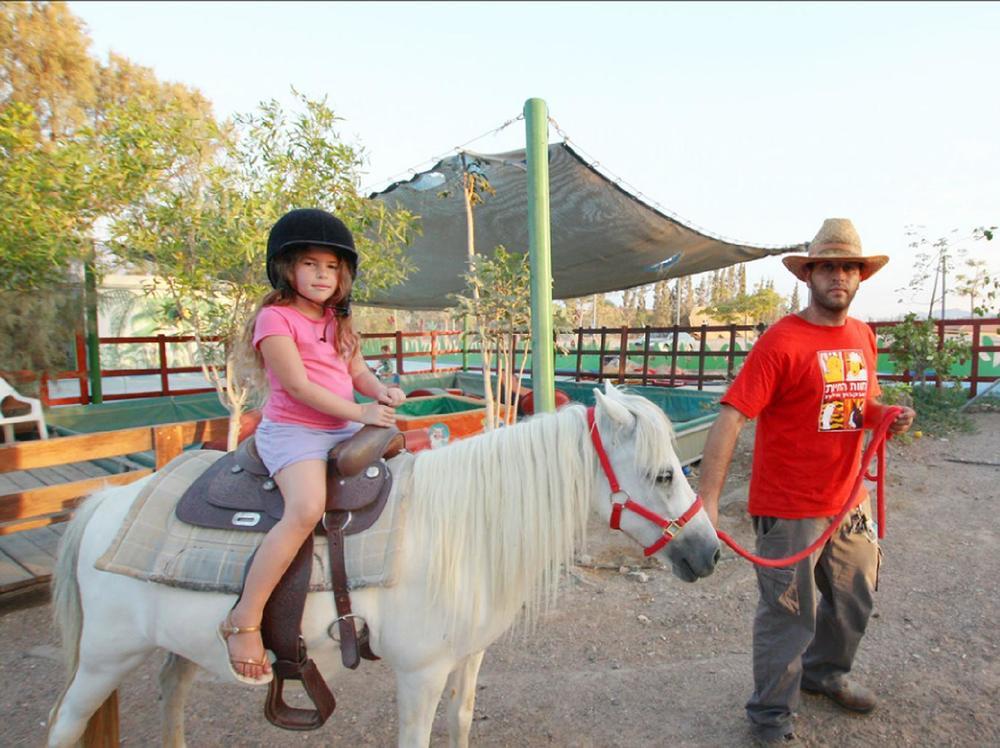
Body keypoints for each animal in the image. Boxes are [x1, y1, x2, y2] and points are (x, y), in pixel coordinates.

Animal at [47, 386, 720, 748]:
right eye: (664, 475)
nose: (711, 553)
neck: (462, 530)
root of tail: (105, 504)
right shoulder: (419, 675)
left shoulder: (467, 660)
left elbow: (461, 722)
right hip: (104, 659)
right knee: (63, 724)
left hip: (176, 647)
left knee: (172, 693)